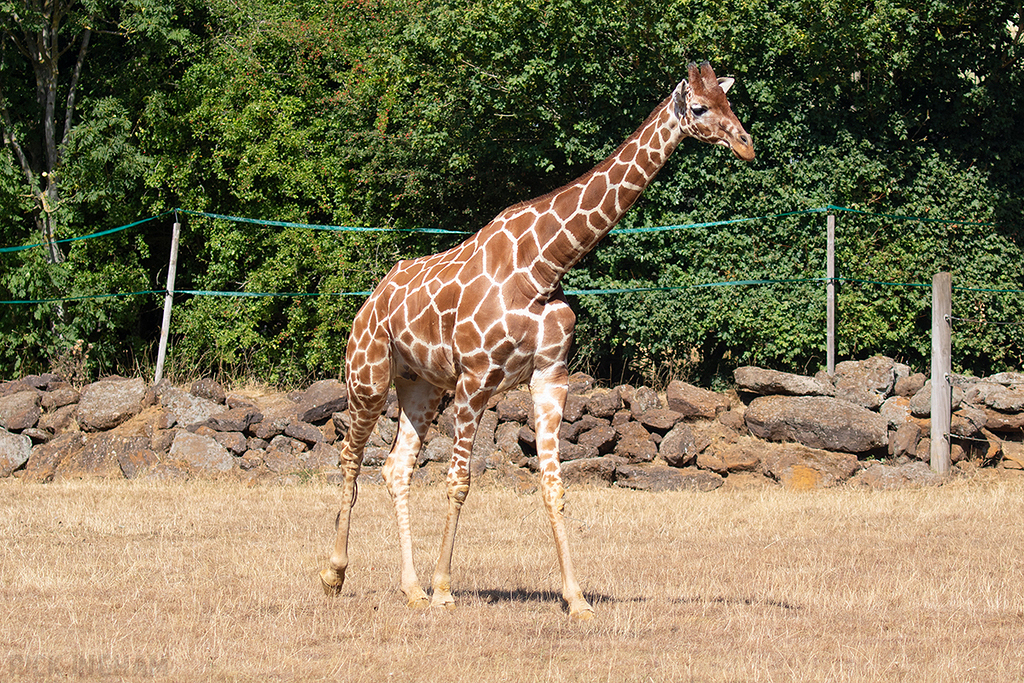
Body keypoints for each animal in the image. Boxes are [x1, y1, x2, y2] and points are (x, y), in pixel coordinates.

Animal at [321, 61, 754, 620]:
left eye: (730, 103)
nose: (745, 144)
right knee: (350, 459)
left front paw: (576, 598)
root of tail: (368, 301)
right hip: (368, 376)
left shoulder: (550, 377)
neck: (543, 266)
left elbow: (552, 484)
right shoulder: (476, 379)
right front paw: (445, 589)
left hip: (421, 385)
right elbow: (460, 481)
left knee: (396, 468)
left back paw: (410, 588)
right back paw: (335, 574)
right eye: (699, 108)